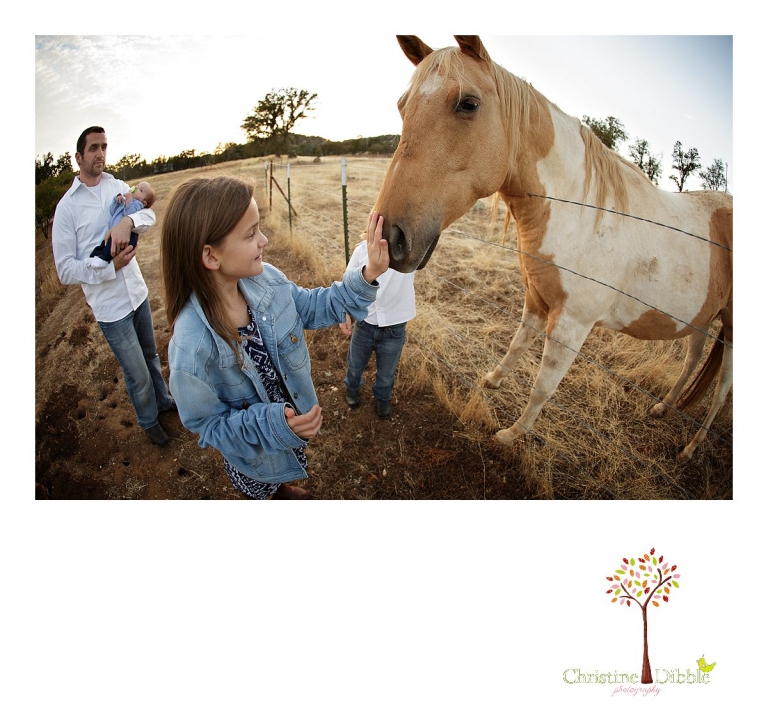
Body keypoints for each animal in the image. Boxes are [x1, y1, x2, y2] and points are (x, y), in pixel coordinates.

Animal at [375, 35, 732, 462]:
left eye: (468, 104)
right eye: (402, 105)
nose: (387, 236)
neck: (583, 212)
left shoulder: (572, 323)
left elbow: (544, 386)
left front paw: (512, 435)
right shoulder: (536, 297)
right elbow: (516, 346)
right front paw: (492, 380)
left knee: (720, 393)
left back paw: (691, 448)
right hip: (702, 319)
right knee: (692, 359)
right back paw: (664, 407)